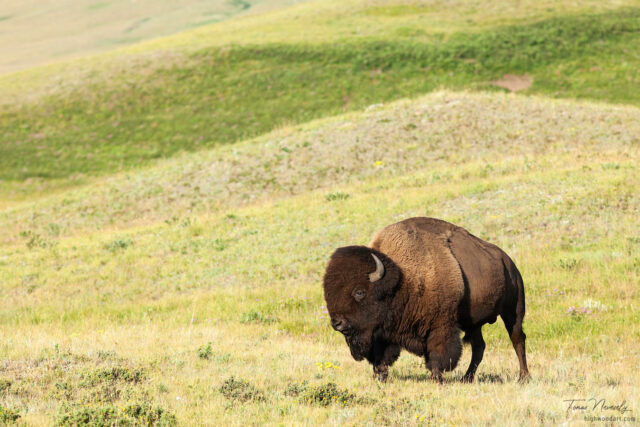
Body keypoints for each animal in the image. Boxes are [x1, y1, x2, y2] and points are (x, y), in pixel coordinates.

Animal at [322, 217, 529, 383]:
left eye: (359, 292)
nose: (337, 323)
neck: (402, 279)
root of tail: (509, 263)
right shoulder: (381, 333)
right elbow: (380, 356)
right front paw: (379, 376)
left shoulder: (441, 326)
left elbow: (438, 353)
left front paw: (436, 378)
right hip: (474, 324)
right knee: (479, 347)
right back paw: (467, 378)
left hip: (513, 311)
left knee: (517, 340)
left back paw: (523, 377)